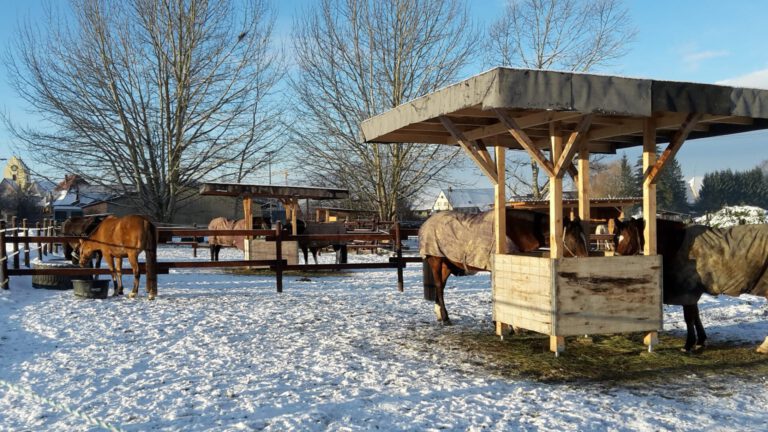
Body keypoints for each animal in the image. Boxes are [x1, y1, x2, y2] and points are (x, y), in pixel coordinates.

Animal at [420, 209, 588, 324]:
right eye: (575, 238)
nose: (586, 259)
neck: (514, 230)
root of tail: (426, 223)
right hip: (436, 261)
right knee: (439, 286)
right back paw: (445, 318)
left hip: (447, 265)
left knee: (441, 287)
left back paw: (440, 314)